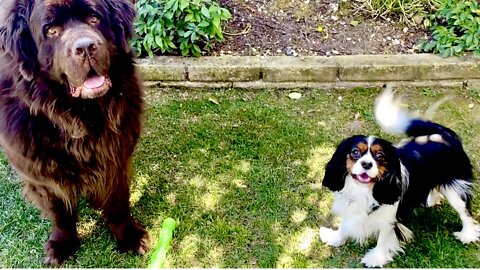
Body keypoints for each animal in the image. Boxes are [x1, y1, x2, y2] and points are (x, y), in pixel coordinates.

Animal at [0, 0, 148, 266]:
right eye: (50, 30)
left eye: (94, 19)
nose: (86, 47)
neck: (78, 117)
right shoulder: (41, 176)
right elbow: (59, 212)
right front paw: (62, 244)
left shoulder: (116, 158)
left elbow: (118, 203)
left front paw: (129, 236)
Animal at [318, 88, 480, 268]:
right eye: (355, 152)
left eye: (380, 156)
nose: (367, 164)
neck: (364, 190)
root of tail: (444, 134)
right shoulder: (350, 207)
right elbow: (345, 225)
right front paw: (335, 238)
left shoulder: (389, 218)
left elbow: (383, 238)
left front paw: (375, 259)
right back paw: (431, 199)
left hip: (455, 188)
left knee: (464, 211)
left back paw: (467, 234)